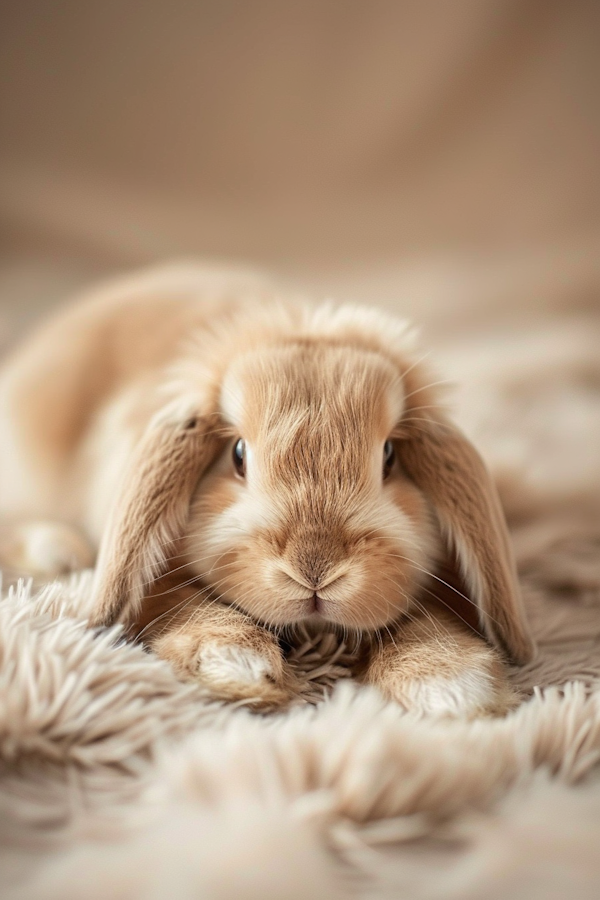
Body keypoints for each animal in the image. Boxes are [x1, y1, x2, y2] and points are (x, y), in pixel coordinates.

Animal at [0, 264, 528, 712]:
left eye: (389, 457)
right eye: (237, 454)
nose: (315, 568)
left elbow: (422, 615)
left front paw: (451, 683)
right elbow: (172, 598)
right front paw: (236, 661)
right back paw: (57, 549)